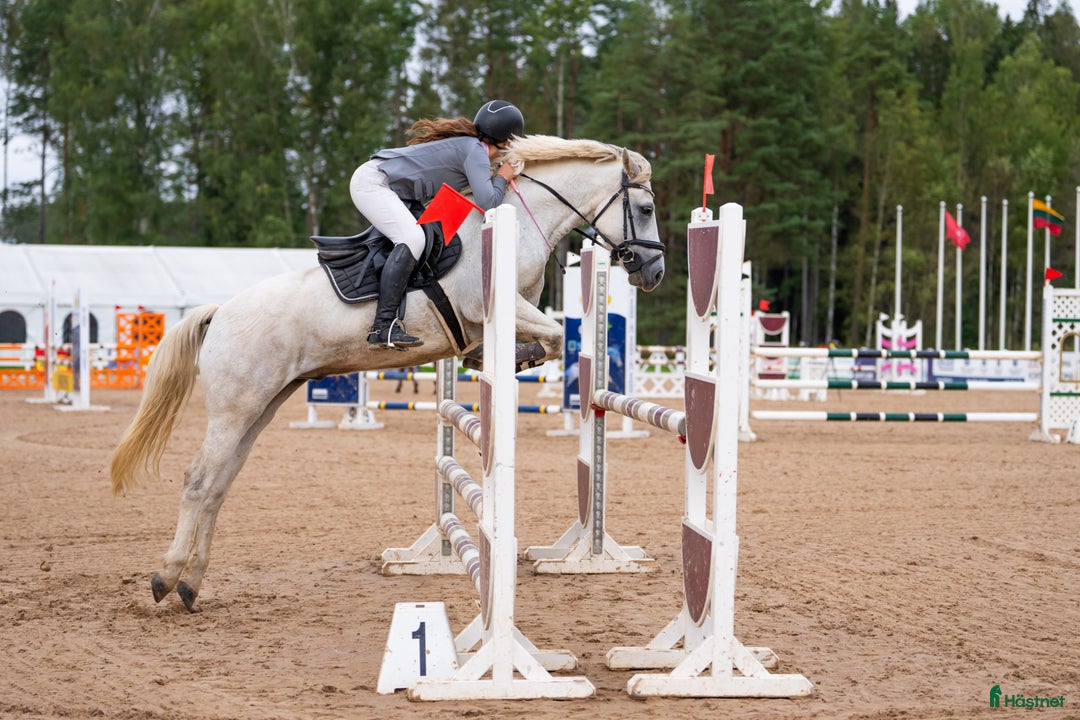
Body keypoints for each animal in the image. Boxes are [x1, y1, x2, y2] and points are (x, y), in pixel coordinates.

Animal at [109, 135, 666, 611]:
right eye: (645, 209)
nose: (654, 273)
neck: (519, 219)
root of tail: (220, 312)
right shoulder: (487, 306)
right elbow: (551, 335)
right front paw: (506, 359)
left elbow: (543, 339)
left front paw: (494, 360)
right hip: (234, 409)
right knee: (199, 481)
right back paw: (166, 577)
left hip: (262, 407)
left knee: (219, 486)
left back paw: (191, 584)